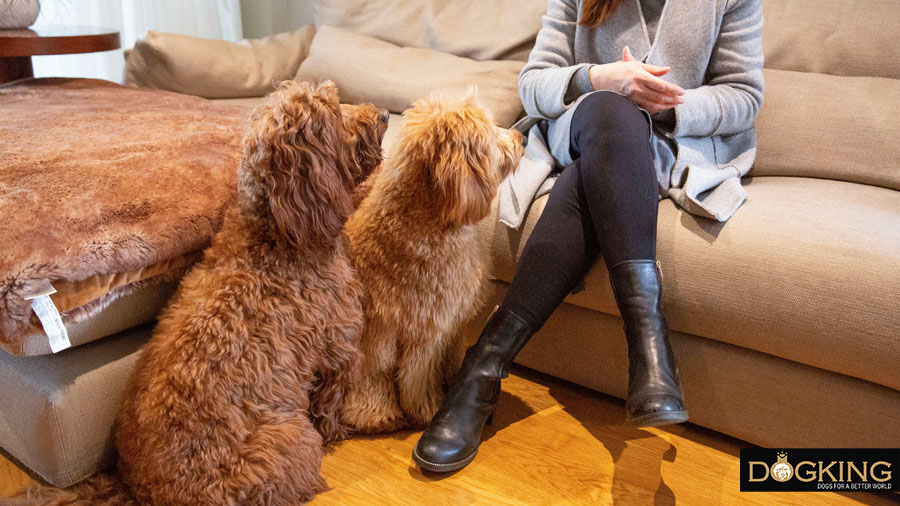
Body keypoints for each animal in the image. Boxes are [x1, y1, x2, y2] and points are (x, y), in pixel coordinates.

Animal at [12, 81, 386, 504]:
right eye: (334, 112)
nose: (384, 115)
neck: (274, 234)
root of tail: (137, 492)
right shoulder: (338, 344)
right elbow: (330, 401)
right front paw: (338, 431)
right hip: (292, 443)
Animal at [344, 94, 528, 430]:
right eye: (490, 135)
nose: (522, 138)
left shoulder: (444, 326)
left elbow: (432, 368)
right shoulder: (397, 327)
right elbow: (388, 374)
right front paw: (384, 414)